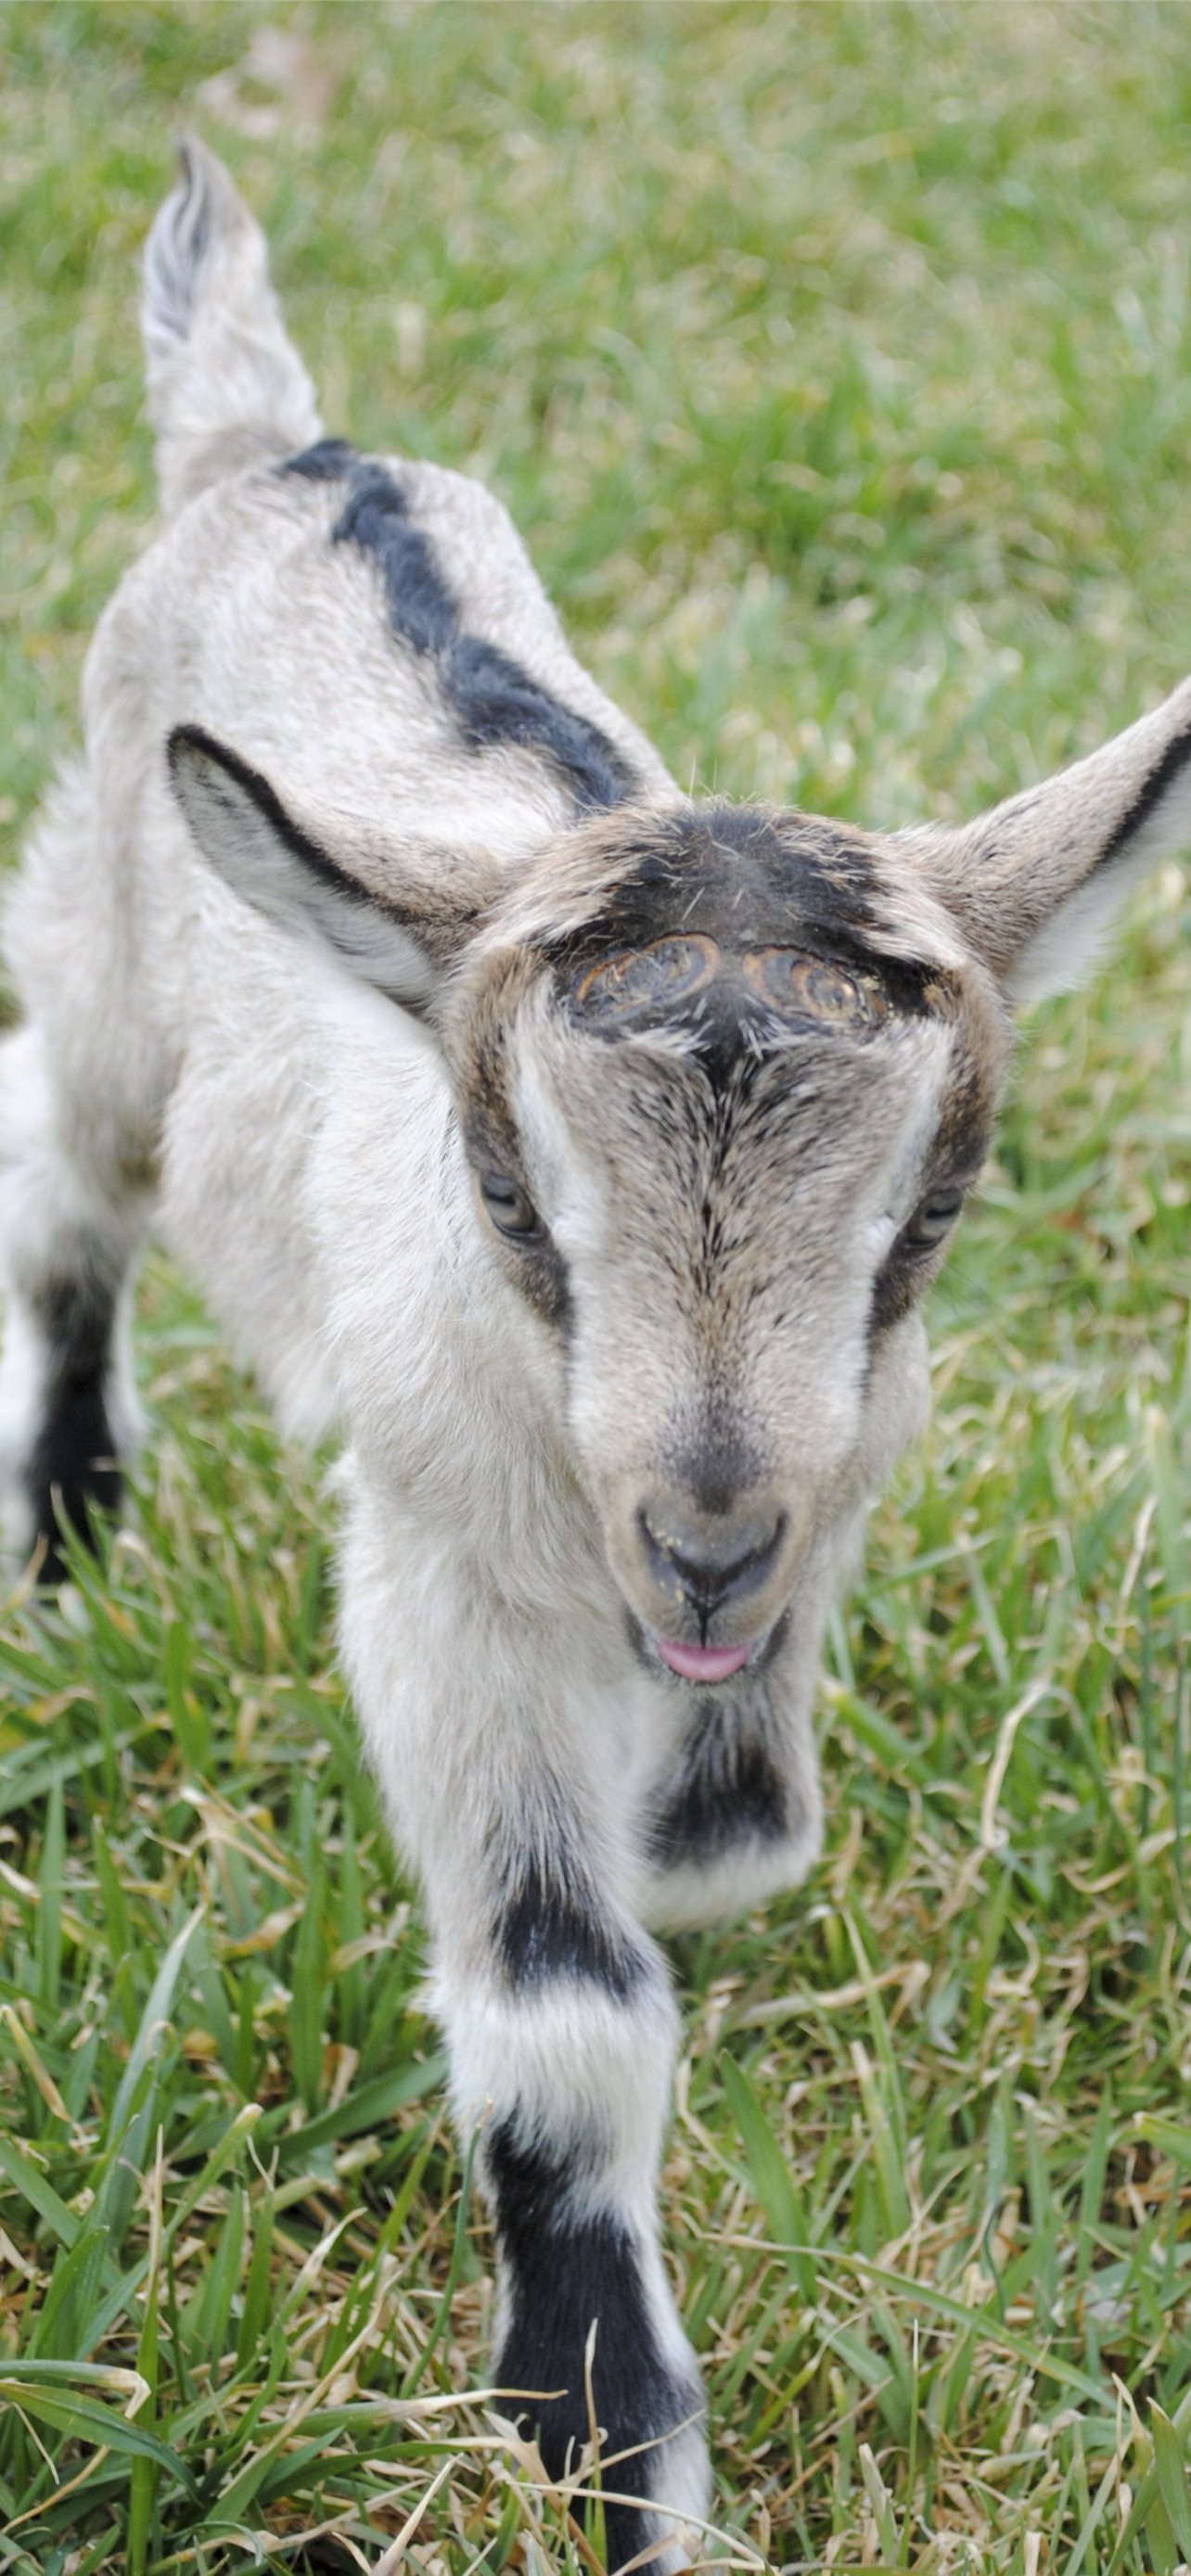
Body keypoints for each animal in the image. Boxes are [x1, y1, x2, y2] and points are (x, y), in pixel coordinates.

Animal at [2, 140, 1190, 2568]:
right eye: (510, 1190)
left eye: (929, 1216)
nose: (703, 1536)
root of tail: (280, 447)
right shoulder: (442, 1561)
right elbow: (563, 2003)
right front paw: (606, 2450)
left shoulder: (822, 1497)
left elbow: (736, 1838)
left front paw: (695, 1824)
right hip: (110, 964)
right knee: (57, 1173)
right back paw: (69, 1515)